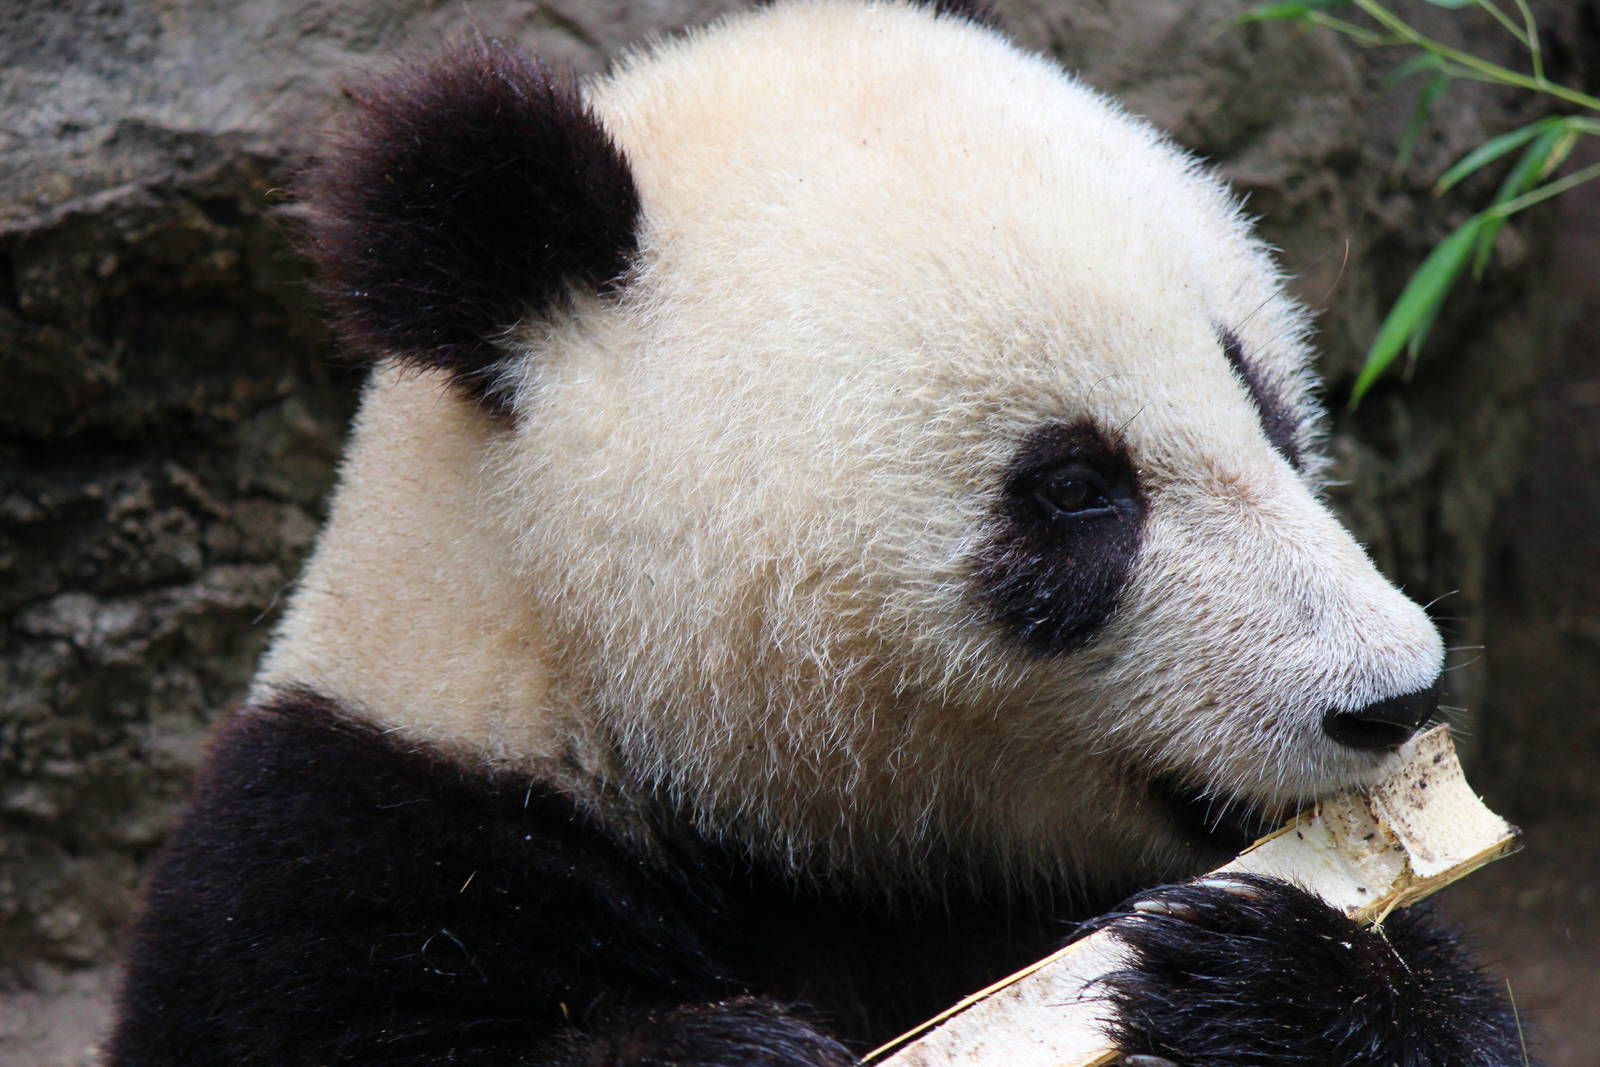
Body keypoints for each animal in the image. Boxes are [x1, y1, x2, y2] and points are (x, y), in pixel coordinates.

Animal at [108, 1, 1525, 1064]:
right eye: (1075, 488)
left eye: (1269, 405)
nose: (1390, 697)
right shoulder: (346, 858)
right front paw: (733, 1049)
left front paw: (1273, 976)